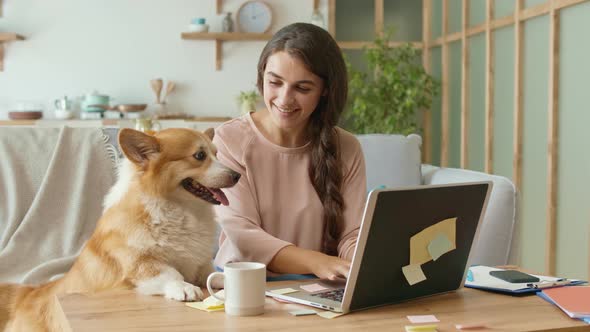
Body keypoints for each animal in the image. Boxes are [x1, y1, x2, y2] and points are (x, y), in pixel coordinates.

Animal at [0, 127, 240, 332]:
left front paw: (221, 281)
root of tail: (28, 294)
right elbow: (169, 272)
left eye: (216, 153)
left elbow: (212, 274)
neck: (181, 211)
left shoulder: (200, 263)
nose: (237, 175)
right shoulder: (138, 264)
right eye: (199, 156)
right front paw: (184, 287)